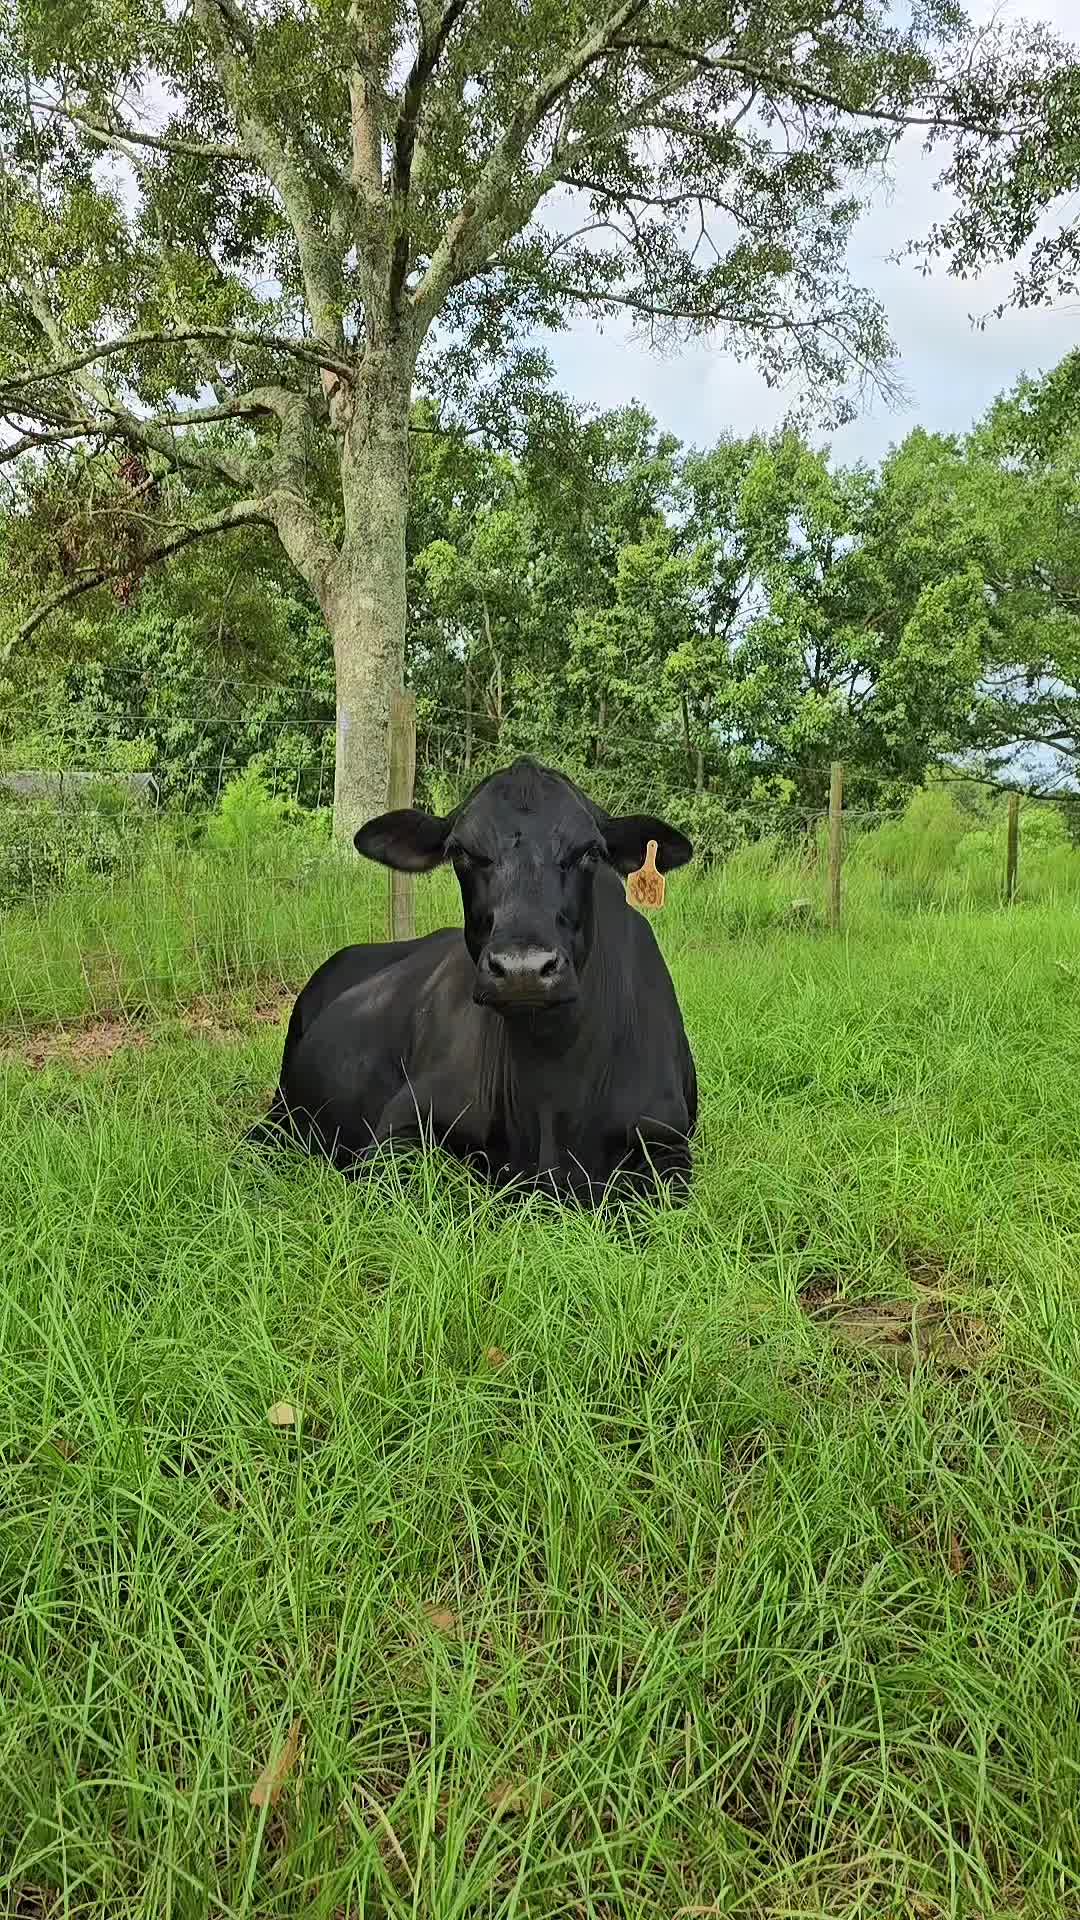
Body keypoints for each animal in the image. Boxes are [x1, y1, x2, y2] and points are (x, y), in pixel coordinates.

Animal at [250, 759, 696, 1203]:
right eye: (461, 852)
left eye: (590, 851)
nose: (522, 969)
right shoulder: (401, 1123)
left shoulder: (668, 1141)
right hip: (280, 1111)